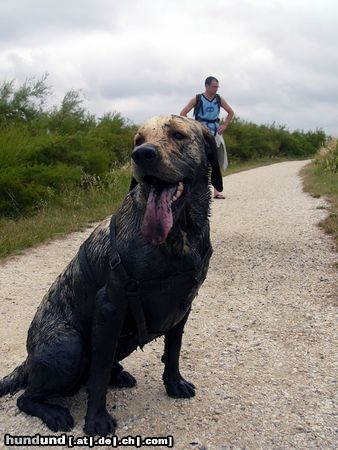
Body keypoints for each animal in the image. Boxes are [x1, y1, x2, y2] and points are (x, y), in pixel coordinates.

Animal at [0, 113, 223, 436]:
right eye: (138, 140)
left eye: (178, 135)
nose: (142, 155)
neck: (178, 235)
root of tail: (27, 362)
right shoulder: (110, 307)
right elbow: (99, 372)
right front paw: (96, 420)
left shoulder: (184, 305)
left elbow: (173, 351)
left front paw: (174, 384)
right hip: (67, 346)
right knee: (27, 396)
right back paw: (53, 413)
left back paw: (119, 375)